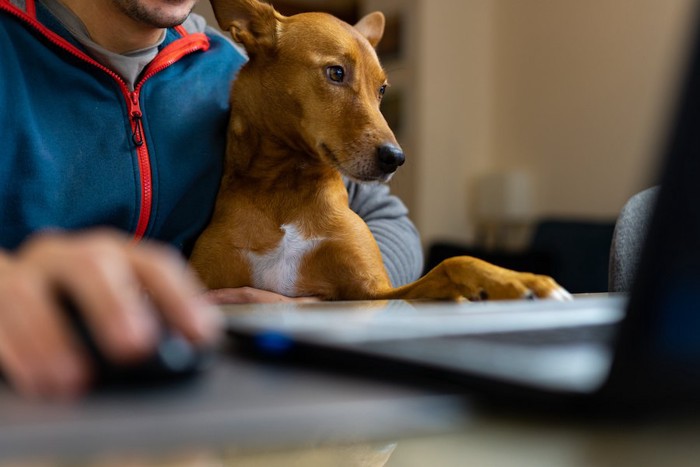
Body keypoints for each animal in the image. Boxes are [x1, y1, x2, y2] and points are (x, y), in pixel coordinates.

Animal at [189, 0, 572, 304]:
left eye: (383, 89)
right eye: (336, 72)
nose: (395, 159)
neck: (285, 187)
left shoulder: (373, 291)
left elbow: (453, 262)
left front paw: (519, 281)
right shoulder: (204, 290)